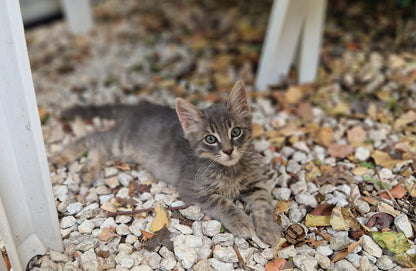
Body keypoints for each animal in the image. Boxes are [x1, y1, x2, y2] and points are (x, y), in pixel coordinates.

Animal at [52, 81, 280, 246]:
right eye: (210, 139)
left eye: (236, 132)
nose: (229, 150)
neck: (230, 168)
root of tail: (141, 107)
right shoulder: (193, 190)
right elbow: (224, 204)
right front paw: (241, 222)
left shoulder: (255, 185)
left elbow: (264, 203)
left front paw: (268, 229)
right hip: (123, 143)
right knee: (95, 138)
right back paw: (69, 159)